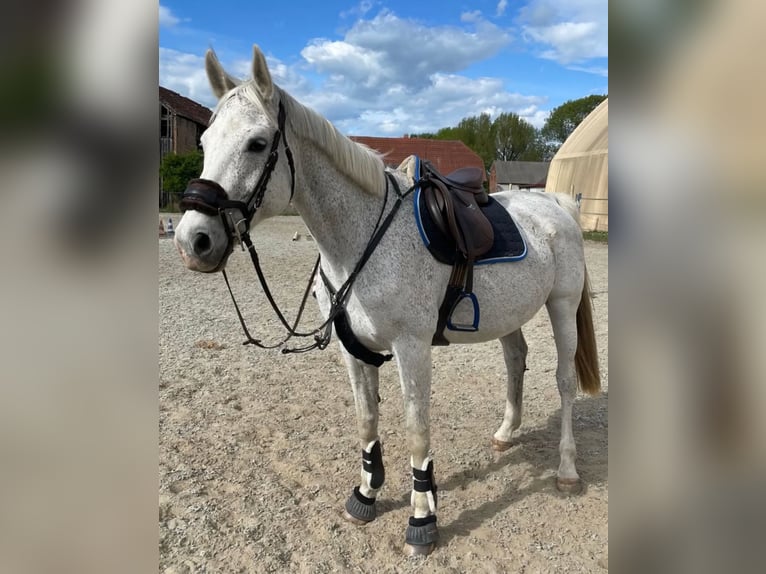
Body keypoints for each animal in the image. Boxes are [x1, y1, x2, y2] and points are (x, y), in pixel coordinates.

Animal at [174, 45, 601, 556]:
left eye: (257, 143)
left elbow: (416, 432)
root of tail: (556, 203)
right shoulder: (353, 350)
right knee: (516, 359)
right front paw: (366, 495)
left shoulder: (411, 348)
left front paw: (421, 520)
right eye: (204, 143)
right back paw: (504, 433)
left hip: (561, 307)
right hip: (509, 315)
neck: (361, 237)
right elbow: (367, 421)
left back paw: (568, 470)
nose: (193, 240)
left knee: (564, 382)